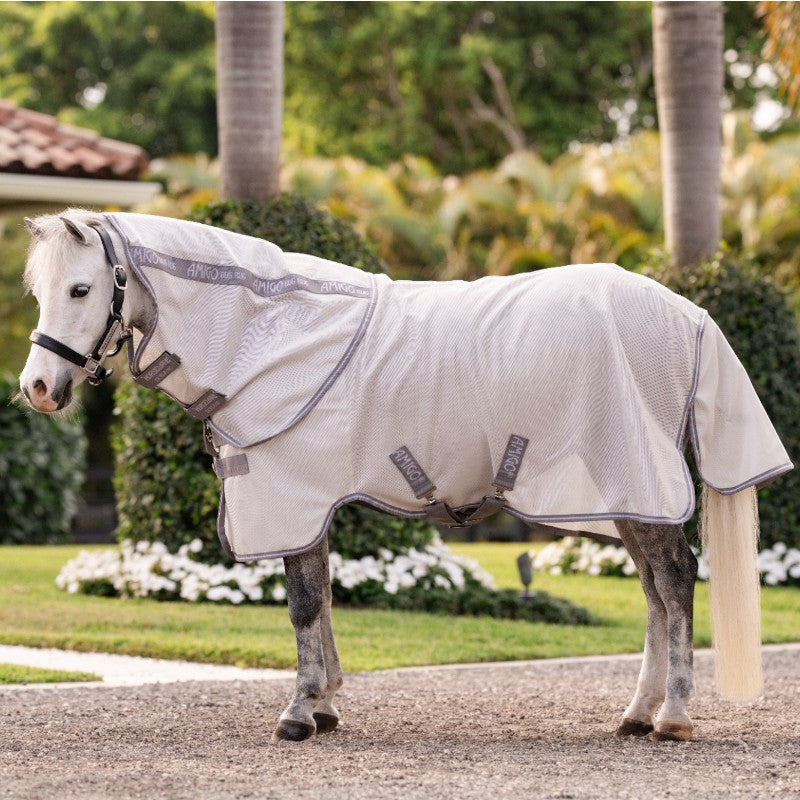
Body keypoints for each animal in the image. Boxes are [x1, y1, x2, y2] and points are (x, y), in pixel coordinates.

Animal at [19, 209, 791, 743]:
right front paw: (327, 703)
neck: (270, 334)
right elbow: (323, 598)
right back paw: (637, 713)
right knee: (658, 592)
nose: (38, 389)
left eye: (81, 288)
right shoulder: (310, 503)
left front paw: (300, 712)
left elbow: (303, 604)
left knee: (676, 582)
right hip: (626, 496)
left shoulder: (293, 496)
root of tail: (686, 313)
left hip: (636, 482)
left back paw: (674, 717)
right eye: (38, 289)